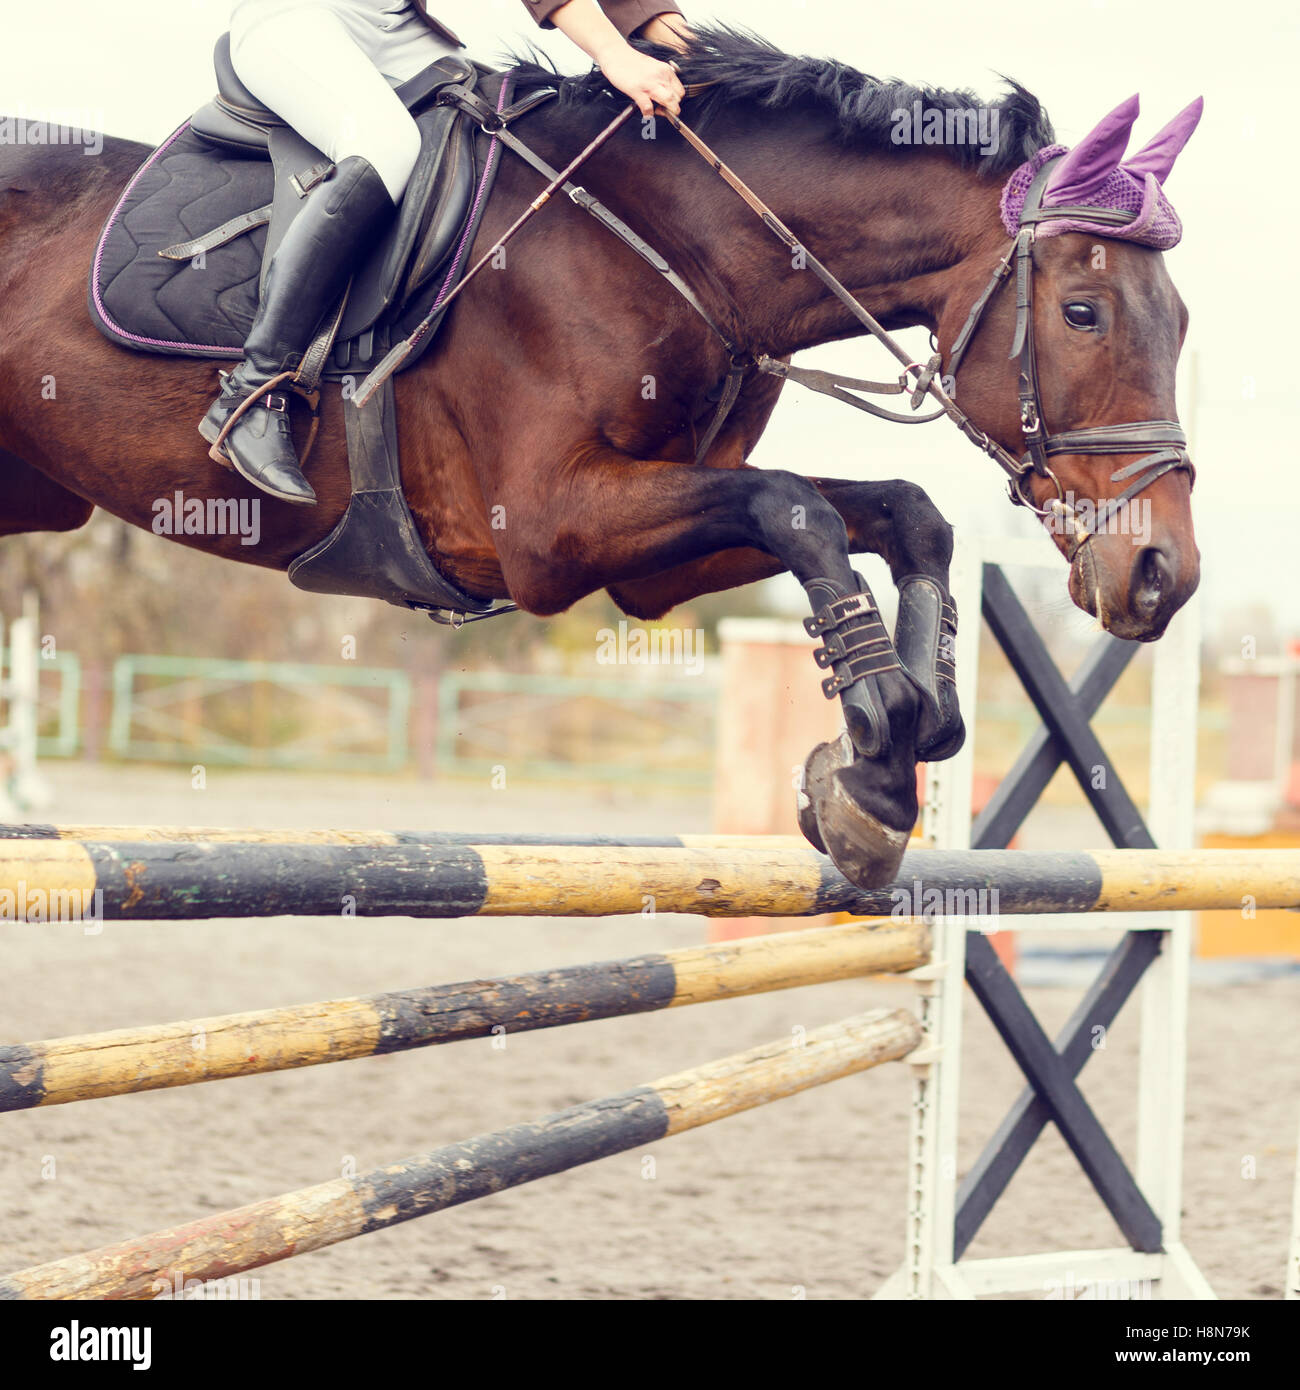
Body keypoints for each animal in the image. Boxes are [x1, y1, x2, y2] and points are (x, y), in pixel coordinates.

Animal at [0, 28, 1201, 890]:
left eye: (1179, 321)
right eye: (1085, 312)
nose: (1163, 575)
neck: (677, 247)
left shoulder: (650, 561)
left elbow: (900, 511)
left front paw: (902, 740)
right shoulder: (544, 527)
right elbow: (797, 509)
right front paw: (876, 746)